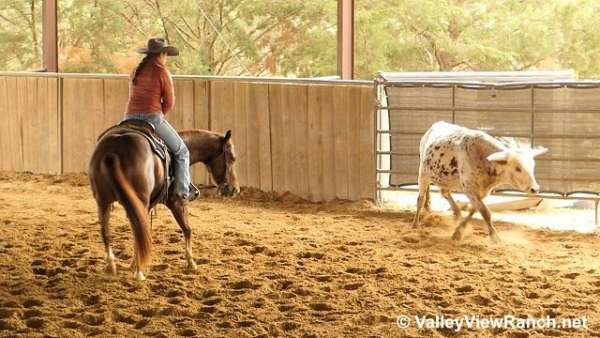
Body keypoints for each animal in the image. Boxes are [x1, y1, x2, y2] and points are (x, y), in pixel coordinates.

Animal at [89, 127, 239, 280]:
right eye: (232, 158)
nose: (234, 189)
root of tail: (112, 150)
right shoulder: (176, 201)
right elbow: (187, 229)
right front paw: (191, 263)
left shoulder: (147, 207)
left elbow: (145, 233)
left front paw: (133, 264)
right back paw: (139, 273)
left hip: (103, 201)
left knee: (107, 232)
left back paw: (111, 266)